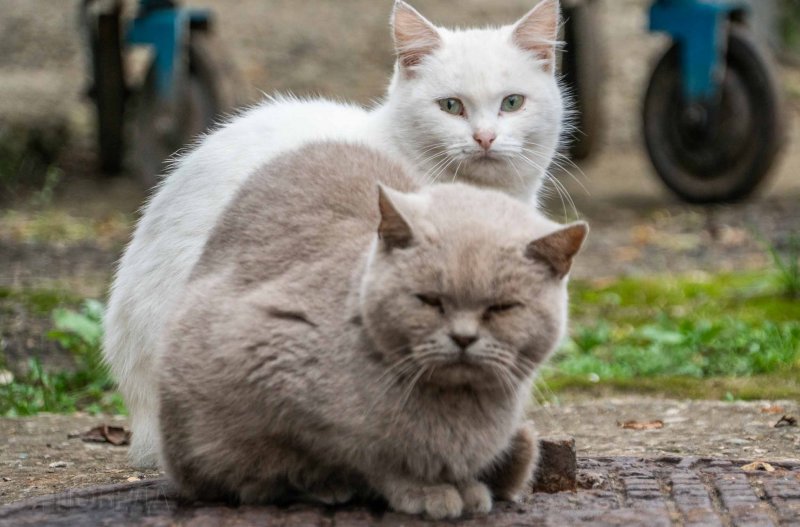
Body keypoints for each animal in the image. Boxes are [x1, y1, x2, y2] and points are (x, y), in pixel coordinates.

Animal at [158, 141, 588, 520]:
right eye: (429, 301)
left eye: (501, 308)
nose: (463, 338)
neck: (456, 407)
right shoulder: (264, 350)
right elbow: (368, 455)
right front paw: (424, 491)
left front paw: (466, 486)